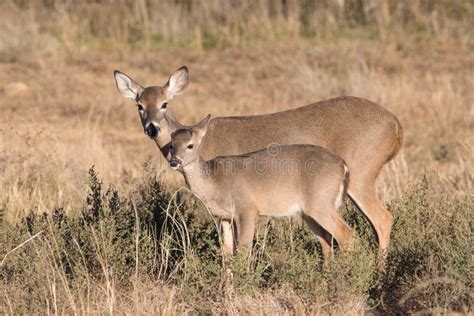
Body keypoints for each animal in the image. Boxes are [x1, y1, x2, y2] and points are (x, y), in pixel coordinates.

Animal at [168, 115, 354, 258]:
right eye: (171, 145)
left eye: (190, 145)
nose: (174, 161)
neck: (214, 182)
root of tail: (343, 166)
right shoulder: (224, 217)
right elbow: (227, 252)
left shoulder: (247, 209)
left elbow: (243, 250)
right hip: (309, 212)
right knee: (326, 240)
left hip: (321, 203)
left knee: (346, 235)